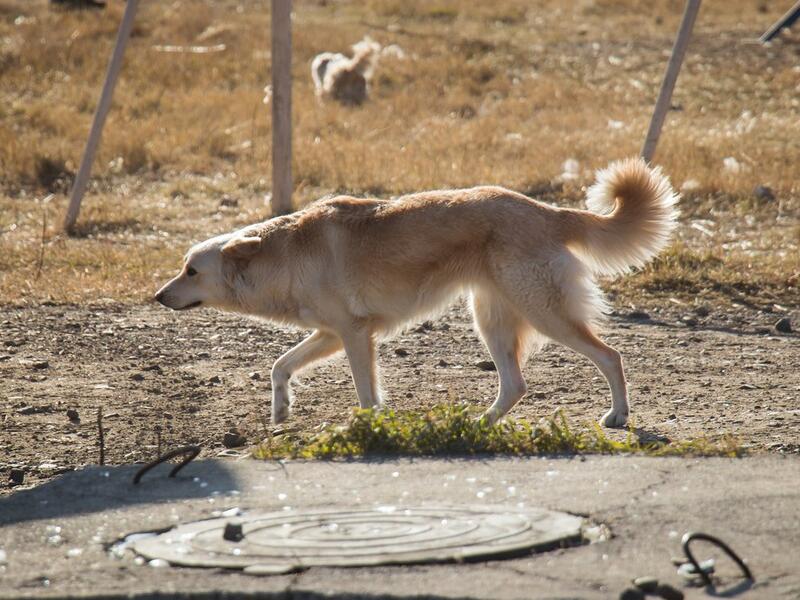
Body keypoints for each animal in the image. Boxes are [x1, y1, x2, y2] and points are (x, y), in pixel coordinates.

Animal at [155, 155, 676, 426]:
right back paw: (479, 425)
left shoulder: (353, 336)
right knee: (516, 385)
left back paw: (617, 416)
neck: (283, 255)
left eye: (191, 271)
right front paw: (281, 409)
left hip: (544, 313)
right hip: (492, 322)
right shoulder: (331, 334)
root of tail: (547, 211)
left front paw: (368, 427)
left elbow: (365, 391)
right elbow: (280, 365)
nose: (159, 296)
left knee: (610, 356)